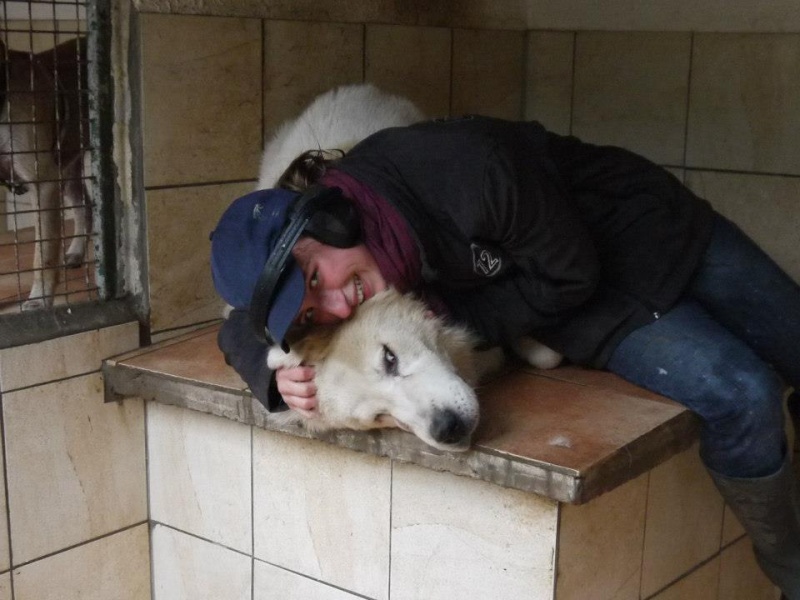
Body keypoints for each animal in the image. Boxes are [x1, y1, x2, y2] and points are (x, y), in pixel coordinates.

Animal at [0, 37, 91, 310]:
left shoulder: (44, 183)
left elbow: (44, 254)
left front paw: (40, 299)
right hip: (69, 171)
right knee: (85, 207)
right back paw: (77, 251)